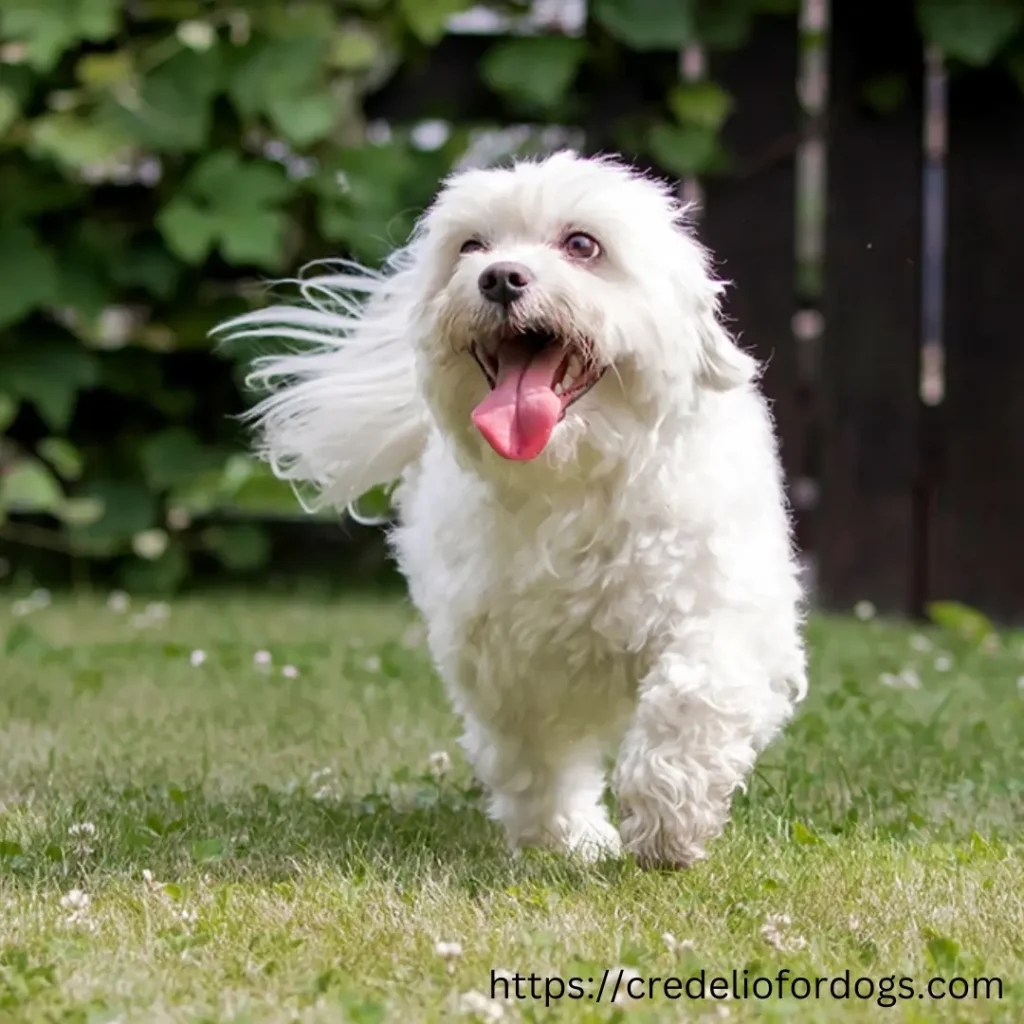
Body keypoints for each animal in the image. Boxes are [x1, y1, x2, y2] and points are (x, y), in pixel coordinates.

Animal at [222, 151, 806, 868]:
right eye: (471, 246)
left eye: (582, 245)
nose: (500, 276)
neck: (572, 480)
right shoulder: (507, 666)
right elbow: (533, 758)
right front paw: (567, 837)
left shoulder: (726, 613)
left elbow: (692, 699)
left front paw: (668, 821)